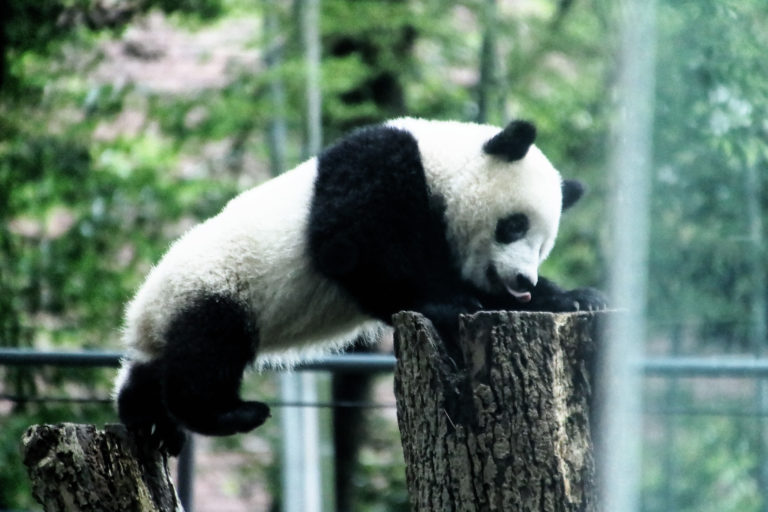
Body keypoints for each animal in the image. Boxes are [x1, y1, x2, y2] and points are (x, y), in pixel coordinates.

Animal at [115, 117, 605, 455]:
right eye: (514, 225)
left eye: (543, 247)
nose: (523, 280)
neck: (441, 163)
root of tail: (140, 315)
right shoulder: (379, 168)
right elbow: (353, 249)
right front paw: (448, 303)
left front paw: (576, 298)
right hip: (213, 286)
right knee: (207, 352)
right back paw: (230, 412)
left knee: (156, 369)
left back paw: (148, 420)